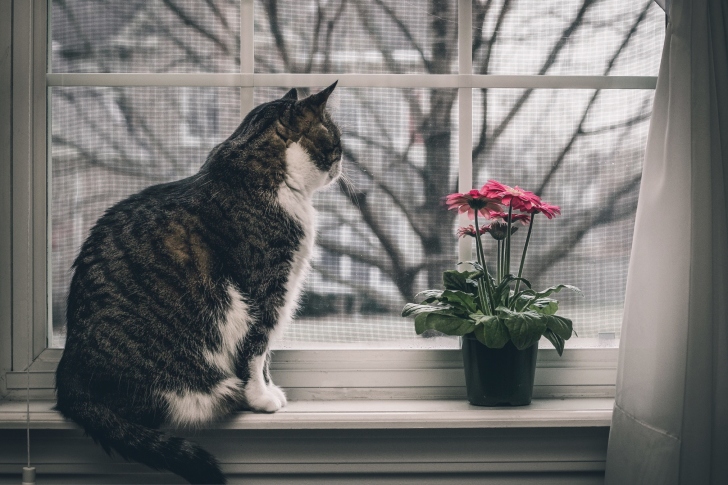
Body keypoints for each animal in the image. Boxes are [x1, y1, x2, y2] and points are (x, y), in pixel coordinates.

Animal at [54, 81, 344, 482]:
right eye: (334, 138)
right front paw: (262, 399)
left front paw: (270, 390)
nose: (343, 161)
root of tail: (68, 376)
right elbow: (256, 351)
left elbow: (265, 354)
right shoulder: (265, 288)